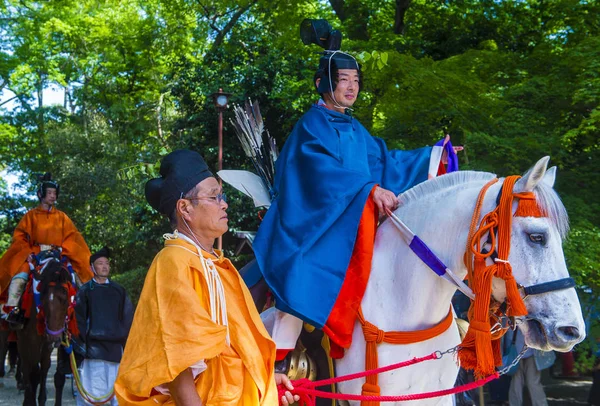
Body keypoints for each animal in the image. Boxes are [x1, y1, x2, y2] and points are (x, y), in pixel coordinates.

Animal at [17, 258, 72, 406]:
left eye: (65, 299)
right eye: (42, 299)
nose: (54, 338)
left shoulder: (51, 342)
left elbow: (48, 370)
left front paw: (42, 399)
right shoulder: (32, 340)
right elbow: (33, 372)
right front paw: (30, 400)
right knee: (26, 367)